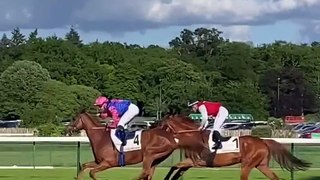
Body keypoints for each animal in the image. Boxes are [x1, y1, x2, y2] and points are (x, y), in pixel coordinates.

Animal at [67, 110, 208, 179]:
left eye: (74, 119)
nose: (68, 129)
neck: (101, 137)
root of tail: (171, 136)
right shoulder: (99, 162)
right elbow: (84, 166)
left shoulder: (108, 163)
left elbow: (92, 173)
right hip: (157, 158)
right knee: (149, 173)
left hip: (149, 154)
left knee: (145, 172)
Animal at [161, 114, 312, 179]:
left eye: (162, 125)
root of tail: (263, 141)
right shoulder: (191, 162)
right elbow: (176, 169)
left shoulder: (197, 162)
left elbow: (175, 167)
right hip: (261, 164)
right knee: (275, 178)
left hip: (247, 164)